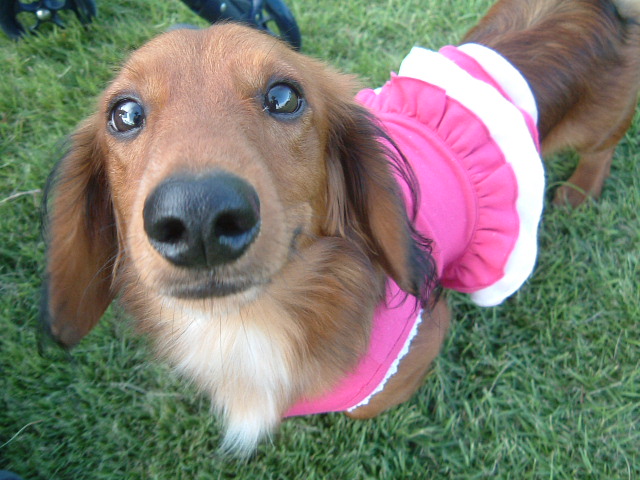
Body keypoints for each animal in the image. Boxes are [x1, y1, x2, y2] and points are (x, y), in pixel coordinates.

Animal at [41, 0, 640, 454]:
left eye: (284, 97)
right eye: (124, 114)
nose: (198, 218)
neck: (248, 322)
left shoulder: (426, 332)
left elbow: (367, 405)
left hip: (595, 127)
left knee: (604, 147)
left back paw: (582, 189)